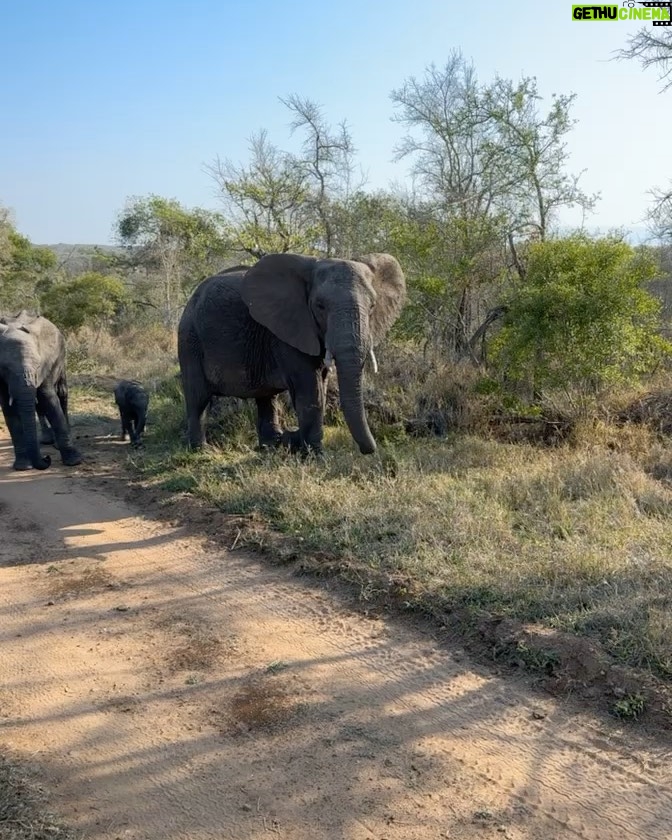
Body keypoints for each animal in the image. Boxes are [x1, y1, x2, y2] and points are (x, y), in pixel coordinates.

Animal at [0, 312, 81, 470]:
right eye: (5, 368)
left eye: (38, 365)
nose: (47, 458)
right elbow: (8, 409)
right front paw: (23, 467)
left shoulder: (46, 363)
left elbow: (48, 398)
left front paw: (74, 462)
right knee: (38, 405)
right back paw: (46, 440)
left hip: (61, 359)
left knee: (61, 394)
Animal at [177, 253, 404, 456]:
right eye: (320, 306)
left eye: (372, 306)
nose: (369, 450)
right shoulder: (287, 331)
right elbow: (310, 390)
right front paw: (316, 457)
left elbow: (320, 384)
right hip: (189, 339)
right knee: (198, 398)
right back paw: (201, 451)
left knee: (266, 396)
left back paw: (270, 446)